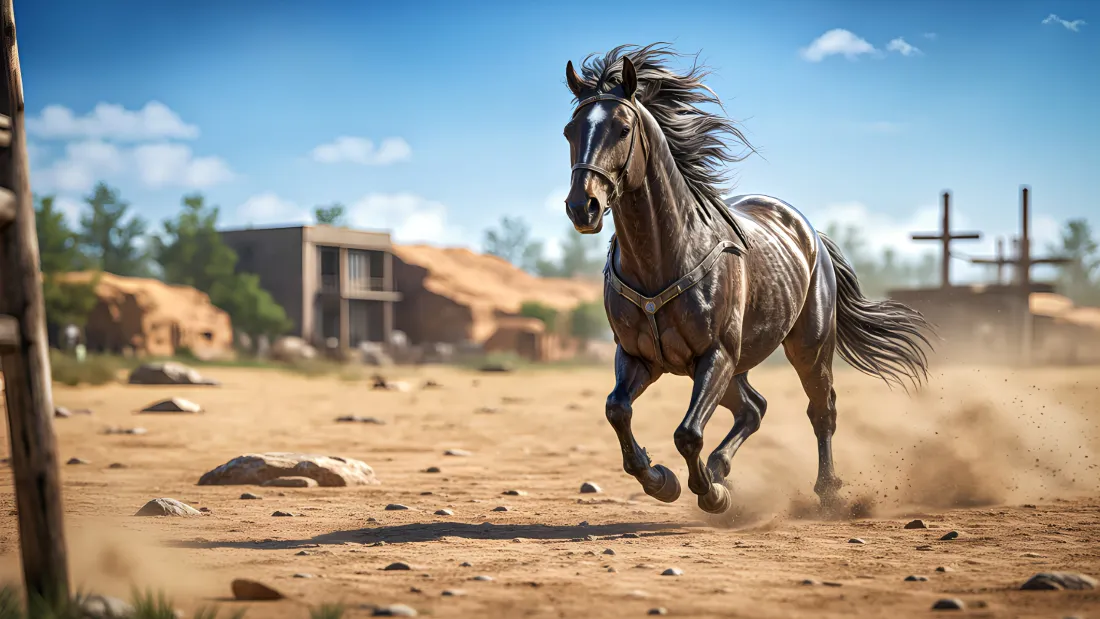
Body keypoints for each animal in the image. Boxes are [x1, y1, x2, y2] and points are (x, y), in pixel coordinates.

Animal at [559, 44, 933, 514]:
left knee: (821, 410)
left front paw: (710, 494)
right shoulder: (636, 356)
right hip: (734, 368)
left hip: (808, 349)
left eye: (623, 128)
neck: (663, 257)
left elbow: (687, 433)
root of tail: (811, 234)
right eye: (570, 130)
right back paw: (722, 468)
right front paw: (660, 479)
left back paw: (825, 491)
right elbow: (617, 410)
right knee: (754, 408)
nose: (582, 207)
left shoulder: (716, 355)